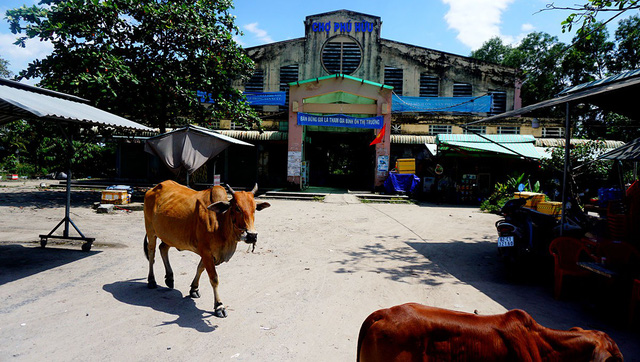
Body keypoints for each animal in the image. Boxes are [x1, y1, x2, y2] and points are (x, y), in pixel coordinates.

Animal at [144, 180, 272, 316]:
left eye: (254, 209)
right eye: (237, 208)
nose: (252, 235)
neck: (220, 222)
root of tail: (153, 188)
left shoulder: (209, 253)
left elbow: (200, 268)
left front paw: (194, 289)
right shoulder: (206, 252)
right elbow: (213, 278)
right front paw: (219, 306)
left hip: (170, 236)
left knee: (163, 248)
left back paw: (169, 278)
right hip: (151, 230)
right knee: (151, 253)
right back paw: (151, 280)